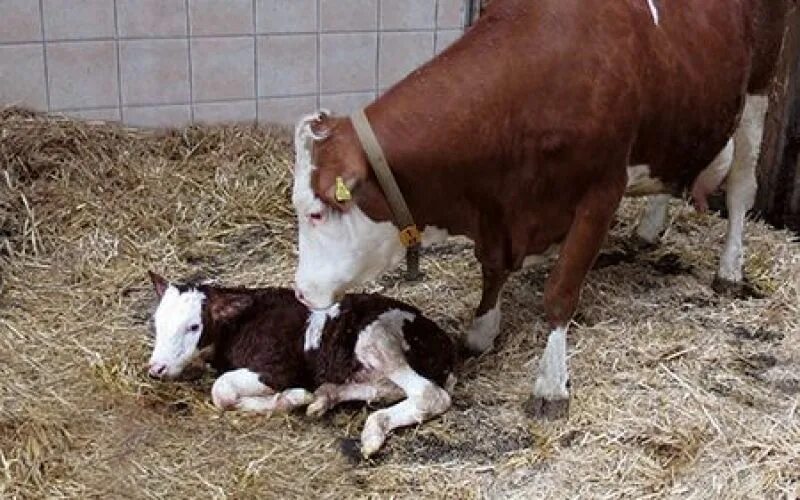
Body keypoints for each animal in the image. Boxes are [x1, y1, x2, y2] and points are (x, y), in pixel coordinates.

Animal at [146, 274, 454, 458]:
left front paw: (291, 398)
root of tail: (445, 344)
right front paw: (299, 398)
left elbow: (221, 390)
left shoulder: (279, 368)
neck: (239, 325)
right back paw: (334, 406)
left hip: (375, 338)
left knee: (430, 395)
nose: (156, 368)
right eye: (157, 323)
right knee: (382, 390)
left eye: (193, 326)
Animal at [292, 0, 792, 420]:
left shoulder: (600, 192)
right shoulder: (499, 211)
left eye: (316, 213)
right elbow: (492, 269)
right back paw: (649, 229)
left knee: (741, 188)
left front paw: (550, 386)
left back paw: (729, 270)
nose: (300, 292)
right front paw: (482, 329)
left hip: (759, 85)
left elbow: (561, 292)